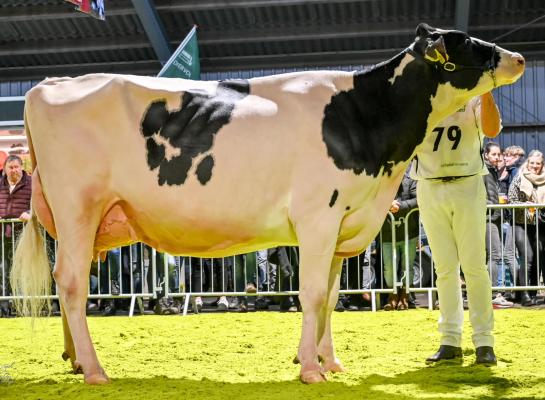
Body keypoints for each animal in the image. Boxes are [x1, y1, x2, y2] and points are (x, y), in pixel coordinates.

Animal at [11, 22, 524, 384]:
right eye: (469, 43)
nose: (519, 56)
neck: (364, 118)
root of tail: (50, 83)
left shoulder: (341, 224)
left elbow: (331, 297)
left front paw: (327, 360)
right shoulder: (318, 216)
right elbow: (312, 294)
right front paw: (310, 370)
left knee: (64, 282)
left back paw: (75, 361)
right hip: (78, 207)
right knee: (72, 284)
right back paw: (96, 371)